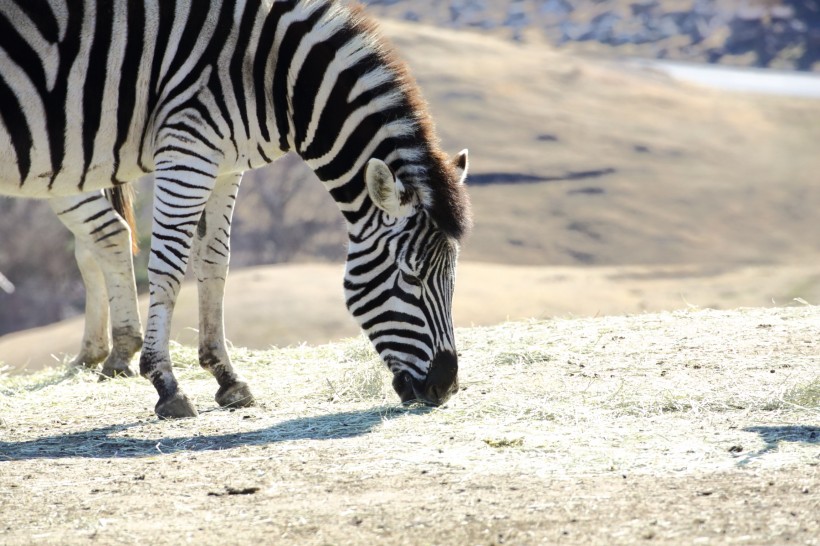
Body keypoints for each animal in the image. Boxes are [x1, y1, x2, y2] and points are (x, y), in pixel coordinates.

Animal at [0, 0, 470, 416]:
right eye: (410, 277)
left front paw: (226, 377)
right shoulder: (186, 148)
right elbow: (169, 267)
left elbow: (214, 263)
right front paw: (166, 384)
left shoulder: (225, 162)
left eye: (452, 278)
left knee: (101, 235)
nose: (445, 387)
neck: (270, 73)